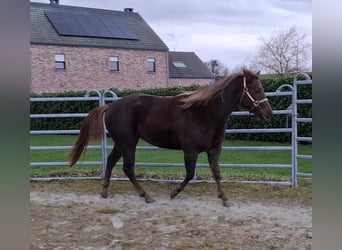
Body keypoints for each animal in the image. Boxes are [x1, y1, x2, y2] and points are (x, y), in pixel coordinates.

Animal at [69, 69, 272, 206]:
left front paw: (224, 198)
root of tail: (110, 106)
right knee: (128, 168)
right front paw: (174, 193)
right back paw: (146, 196)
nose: (268, 112)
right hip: (128, 143)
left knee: (111, 161)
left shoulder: (214, 150)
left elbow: (217, 173)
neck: (205, 114)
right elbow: (189, 174)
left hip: (121, 143)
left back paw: (104, 191)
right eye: (256, 88)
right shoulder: (190, 150)